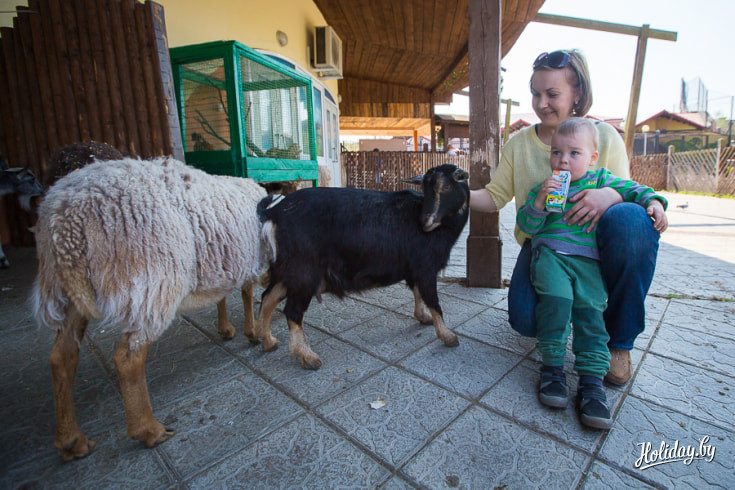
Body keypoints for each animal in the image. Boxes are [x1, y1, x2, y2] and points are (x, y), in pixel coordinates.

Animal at [32, 156, 267, 460]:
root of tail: (64, 216)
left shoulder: (226, 260)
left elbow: (226, 295)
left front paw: (227, 329)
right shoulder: (249, 260)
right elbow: (246, 293)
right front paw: (254, 332)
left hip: (67, 291)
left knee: (62, 357)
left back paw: (71, 440)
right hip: (152, 282)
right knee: (127, 358)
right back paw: (148, 430)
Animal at [253, 164, 470, 369]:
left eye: (447, 186)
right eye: (425, 188)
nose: (425, 222)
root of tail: (274, 212)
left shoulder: (414, 268)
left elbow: (417, 293)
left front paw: (423, 317)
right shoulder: (425, 268)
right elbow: (433, 300)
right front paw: (447, 335)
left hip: (287, 269)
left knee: (268, 297)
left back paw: (267, 341)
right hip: (304, 271)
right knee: (292, 311)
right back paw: (308, 356)